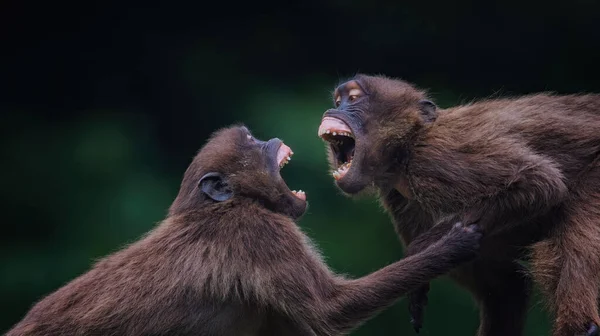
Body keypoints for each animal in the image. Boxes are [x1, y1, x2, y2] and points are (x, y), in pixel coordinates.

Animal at [5, 124, 482, 334]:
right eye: (251, 142)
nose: (268, 139)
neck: (219, 207)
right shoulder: (260, 233)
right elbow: (330, 310)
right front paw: (451, 245)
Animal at [316, 76, 600, 336]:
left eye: (353, 99)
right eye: (338, 101)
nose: (332, 110)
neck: (407, 147)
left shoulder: (436, 158)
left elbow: (540, 183)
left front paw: (420, 250)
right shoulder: (398, 195)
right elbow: (505, 287)